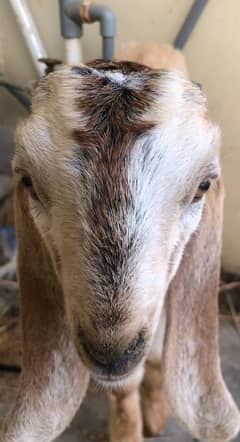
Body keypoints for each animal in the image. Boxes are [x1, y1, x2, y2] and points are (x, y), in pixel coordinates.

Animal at [0, 52, 240, 442]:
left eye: (203, 186)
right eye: (28, 181)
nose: (111, 355)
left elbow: (155, 360)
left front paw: (156, 411)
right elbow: (127, 385)